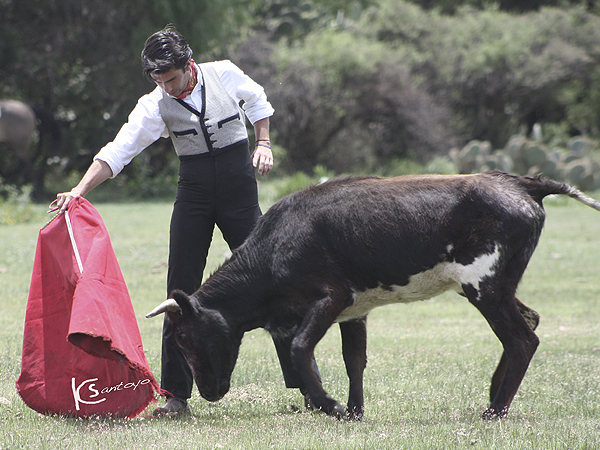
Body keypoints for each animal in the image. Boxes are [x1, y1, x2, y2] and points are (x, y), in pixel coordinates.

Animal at [145, 171, 600, 418]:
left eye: (182, 336)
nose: (208, 392)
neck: (276, 246)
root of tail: (521, 183)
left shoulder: (331, 299)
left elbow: (299, 347)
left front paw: (330, 405)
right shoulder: (354, 312)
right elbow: (354, 361)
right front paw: (354, 411)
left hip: (484, 288)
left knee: (523, 339)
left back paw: (494, 411)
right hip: (498, 288)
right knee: (529, 322)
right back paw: (493, 394)